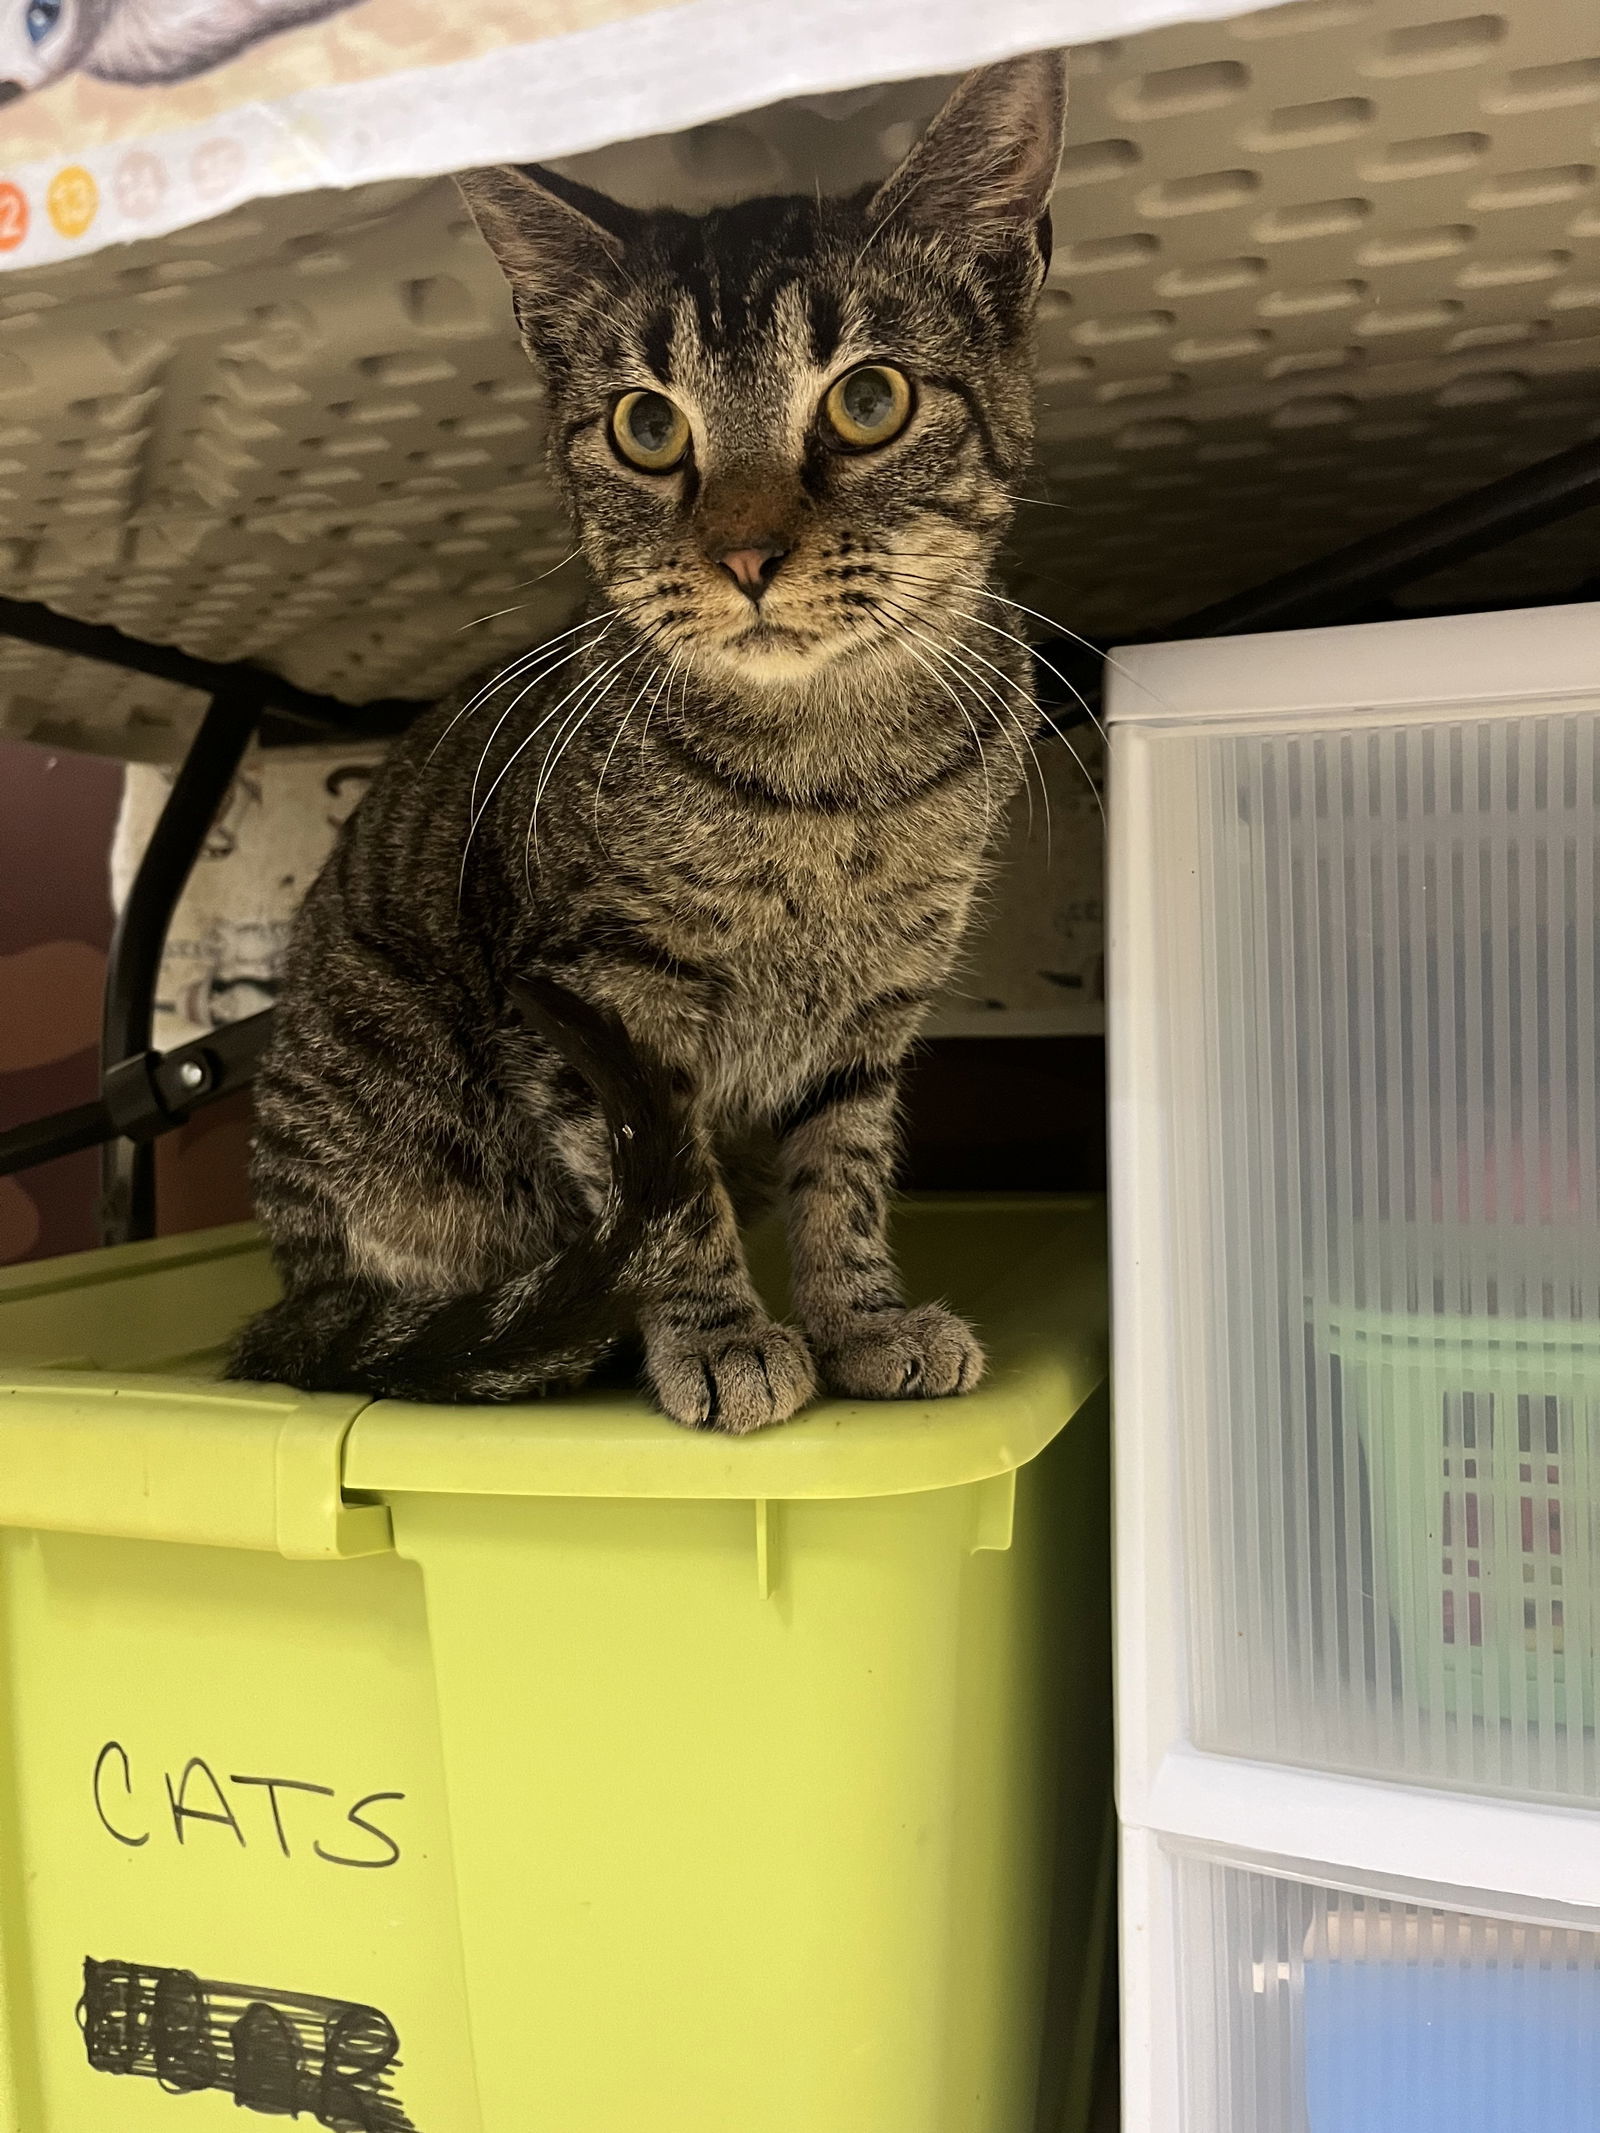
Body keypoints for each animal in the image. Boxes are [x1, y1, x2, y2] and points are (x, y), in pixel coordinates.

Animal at [226, 54, 1070, 1433]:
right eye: (646, 427)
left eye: (870, 400)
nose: (745, 554)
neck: (827, 778)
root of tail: (285, 1302)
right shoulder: (589, 1009)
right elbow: (672, 1207)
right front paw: (720, 1337)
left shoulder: (873, 1016)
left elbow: (843, 1175)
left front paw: (861, 1319)